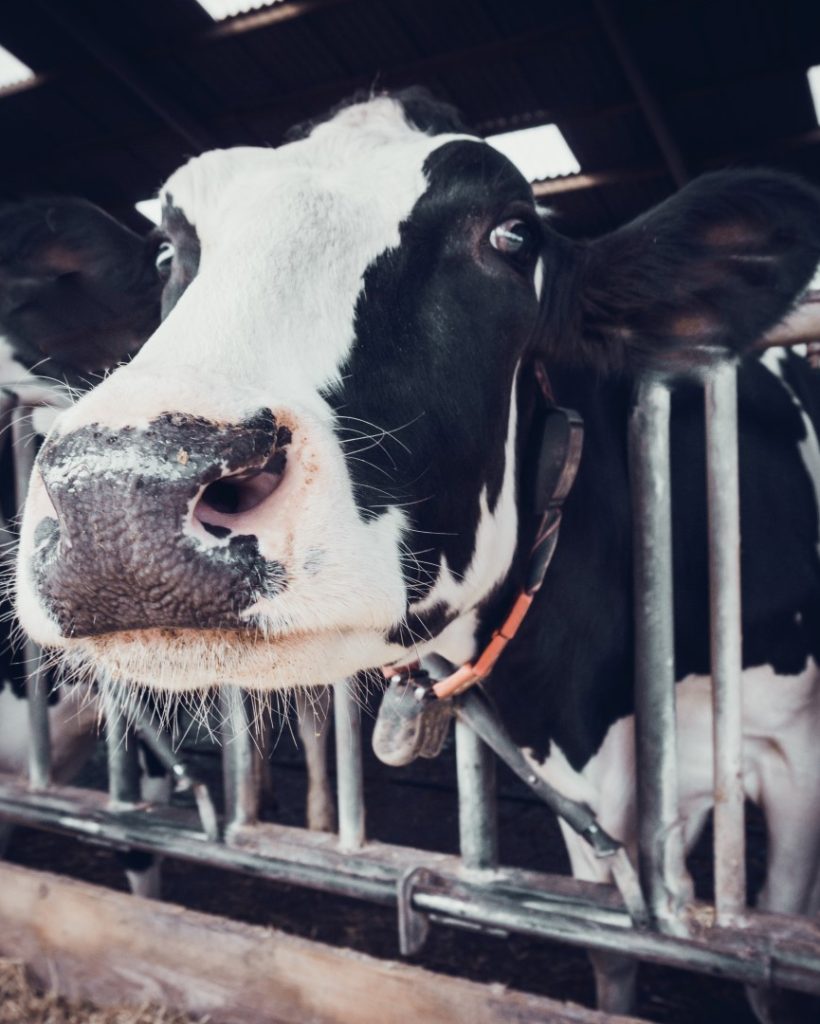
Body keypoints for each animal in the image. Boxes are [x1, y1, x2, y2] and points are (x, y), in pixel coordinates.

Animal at [11, 90, 820, 1020]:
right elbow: (612, 959)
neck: (603, 702)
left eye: (511, 235)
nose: (120, 496)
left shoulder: (791, 757)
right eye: (167, 248)